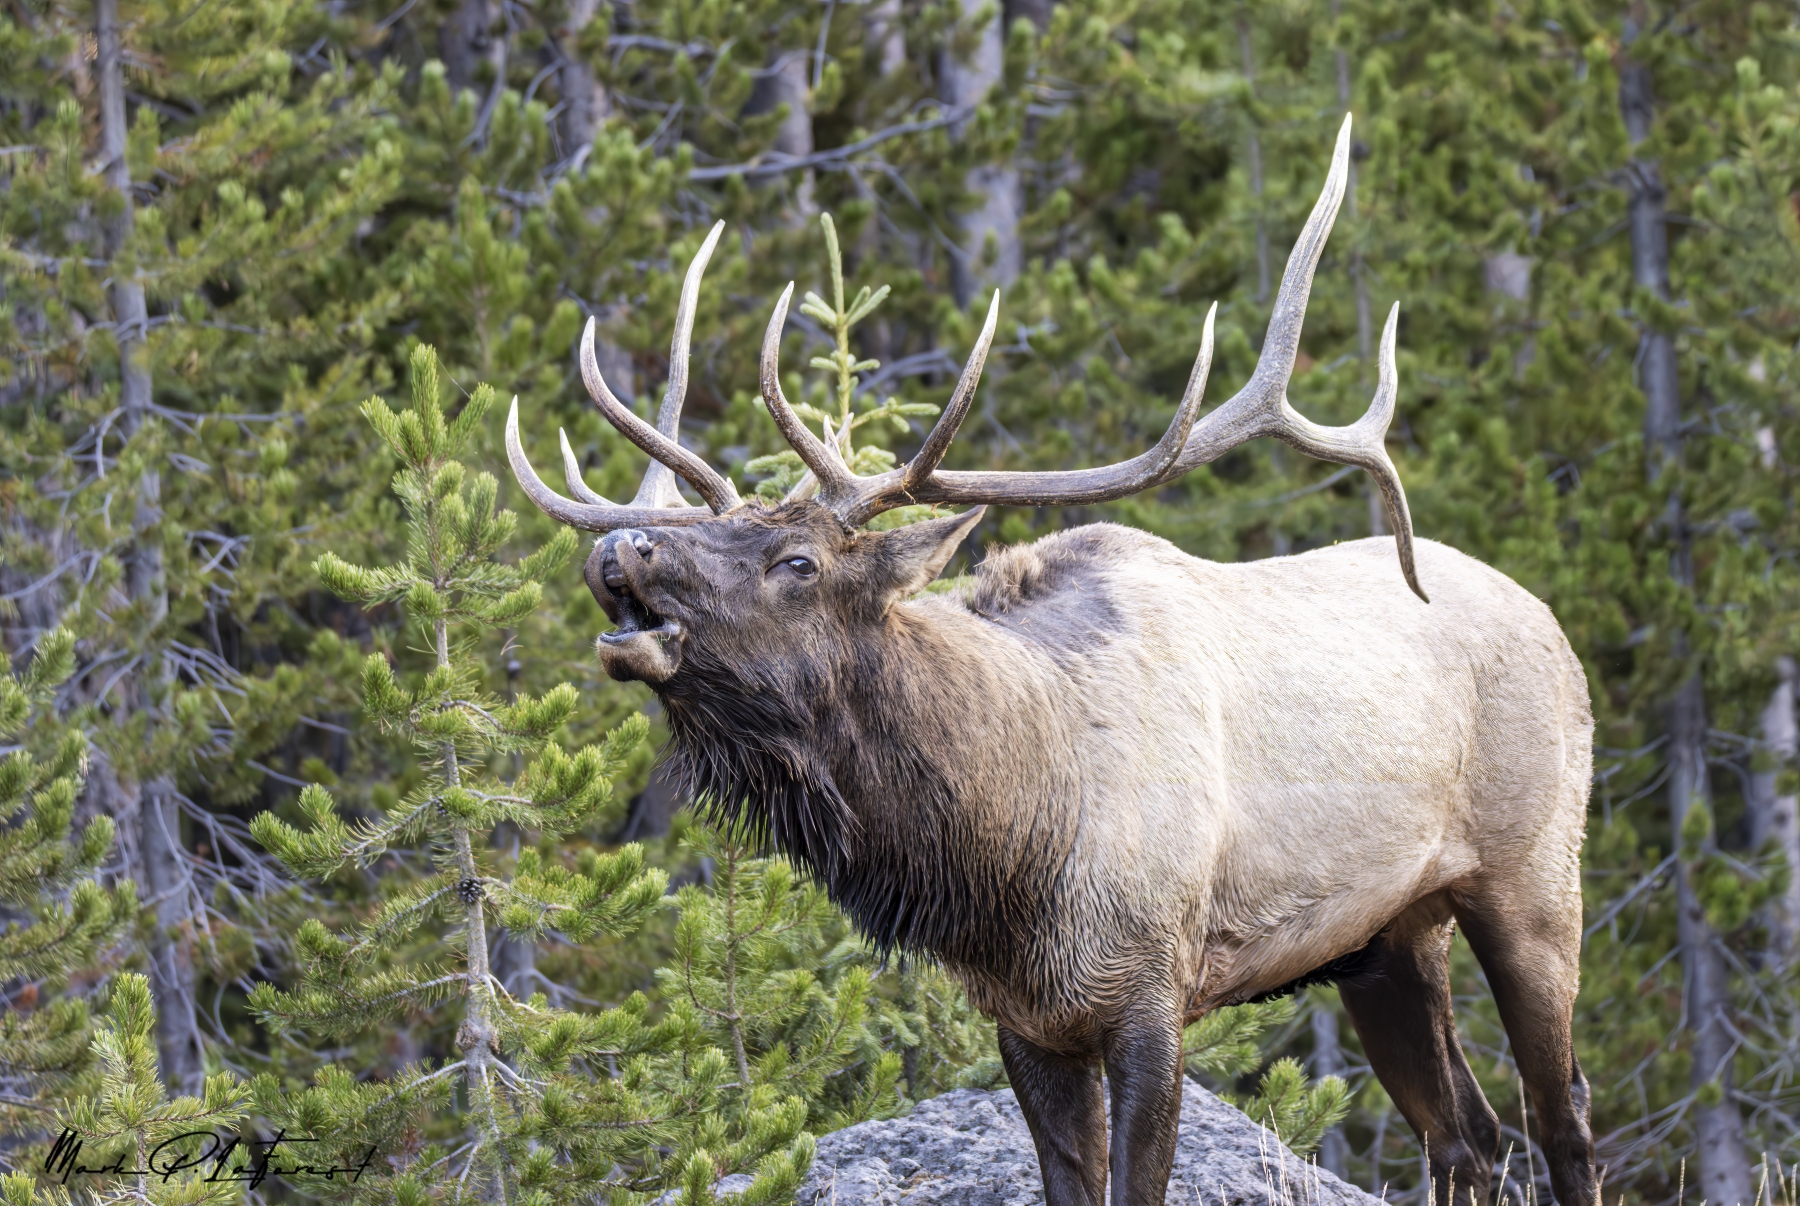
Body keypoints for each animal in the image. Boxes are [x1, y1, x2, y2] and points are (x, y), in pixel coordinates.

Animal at [500, 116, 1598, 1206]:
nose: (624, 547)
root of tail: (1552, 622)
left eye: (797, 562)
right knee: (1466, 1134)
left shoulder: (1152, 990)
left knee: (1563, 1118)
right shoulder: (1026, 1023)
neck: (1012, 855)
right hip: (1388, 937)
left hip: (1535, 876)